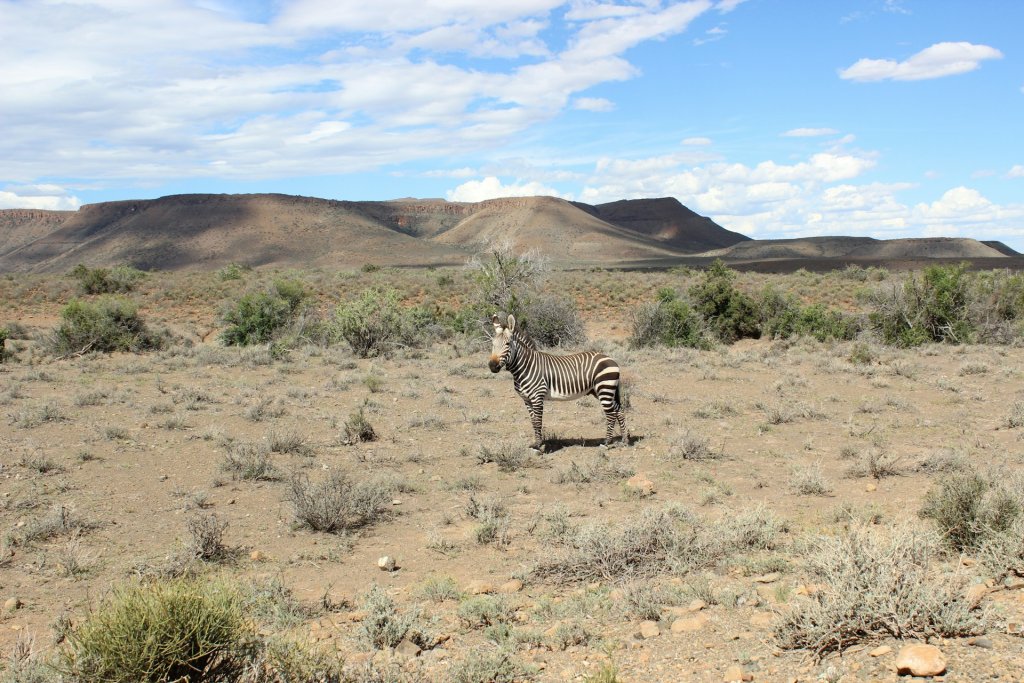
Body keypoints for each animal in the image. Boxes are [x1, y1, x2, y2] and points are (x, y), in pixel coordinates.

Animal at [488, 312, 628, 451]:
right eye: (493, 343)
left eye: (507, 344)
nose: (492, 366)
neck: (525, 367)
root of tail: (611, 359)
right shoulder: (526, 399)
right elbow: (533, 421)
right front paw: (536, 444)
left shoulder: (537, 397)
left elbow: (538, 422)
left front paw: (540, 446)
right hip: (600, 391)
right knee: (619, 411)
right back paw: (624, 440)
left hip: (605, 389)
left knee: (611, 414)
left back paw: (607, 443)